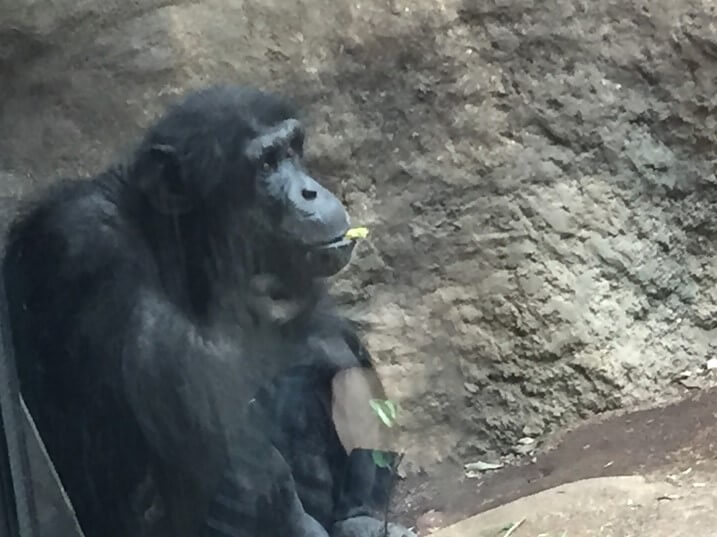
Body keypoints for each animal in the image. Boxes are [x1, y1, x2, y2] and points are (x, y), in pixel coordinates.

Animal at [1, 86, 414, 536]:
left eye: (292, 149)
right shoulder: (86, 246)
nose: (310, 191)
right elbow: (224, 446)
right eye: (266, 163)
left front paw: (362, 516)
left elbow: (332, 350)